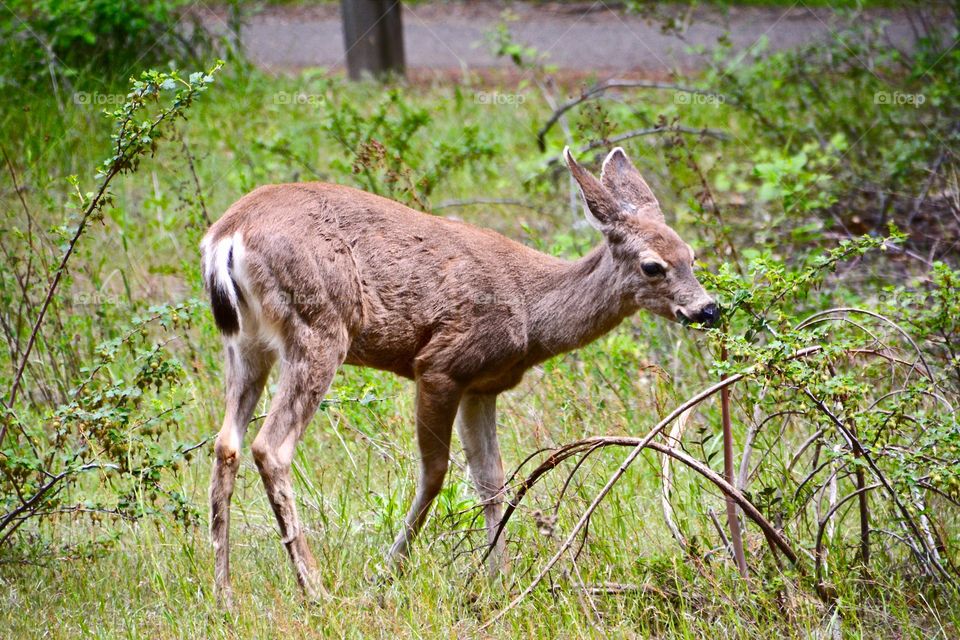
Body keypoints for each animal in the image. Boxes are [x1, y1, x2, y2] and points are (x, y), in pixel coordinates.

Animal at [199, 146, 716, 604]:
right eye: (653, 265)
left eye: (691, 254)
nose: (708, 308)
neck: (531, 312)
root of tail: (227, 235)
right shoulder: (440, 365)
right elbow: (436, 473)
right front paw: (389, 572)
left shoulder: (482, 387)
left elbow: (491, 479)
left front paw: (498, 578)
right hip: (321, 327)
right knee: (271, 446)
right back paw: (316, 590)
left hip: (246, 343)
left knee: (227, 444)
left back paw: (225, 594)